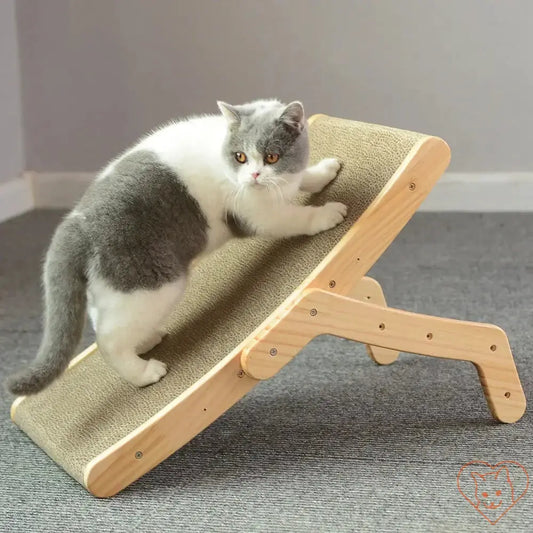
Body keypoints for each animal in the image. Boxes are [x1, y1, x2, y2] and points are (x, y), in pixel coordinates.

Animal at [6, 98, 348, 394]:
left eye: (271, 157)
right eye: (240, 156)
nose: (254, 175)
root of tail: (74, 224)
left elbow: (301, 179)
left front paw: (323, 171)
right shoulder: (256, 213)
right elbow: (294, 217)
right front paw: (327, 213)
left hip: (111, 286)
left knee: (100, 316)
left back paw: (145, 340)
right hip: (152, 281)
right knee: (108, 339)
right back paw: (144, 372)